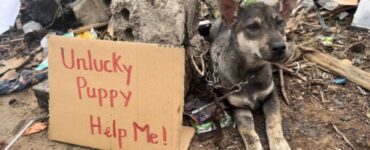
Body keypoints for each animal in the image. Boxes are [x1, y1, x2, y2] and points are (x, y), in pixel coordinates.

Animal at [211, 0, 292, 150]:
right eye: (252, 26)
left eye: (279, 22)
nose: (280, 48)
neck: (250, 73)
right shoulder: (239, 107)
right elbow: (248, 132)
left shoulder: (271, 95)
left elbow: (273, 120)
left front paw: (279, 143)